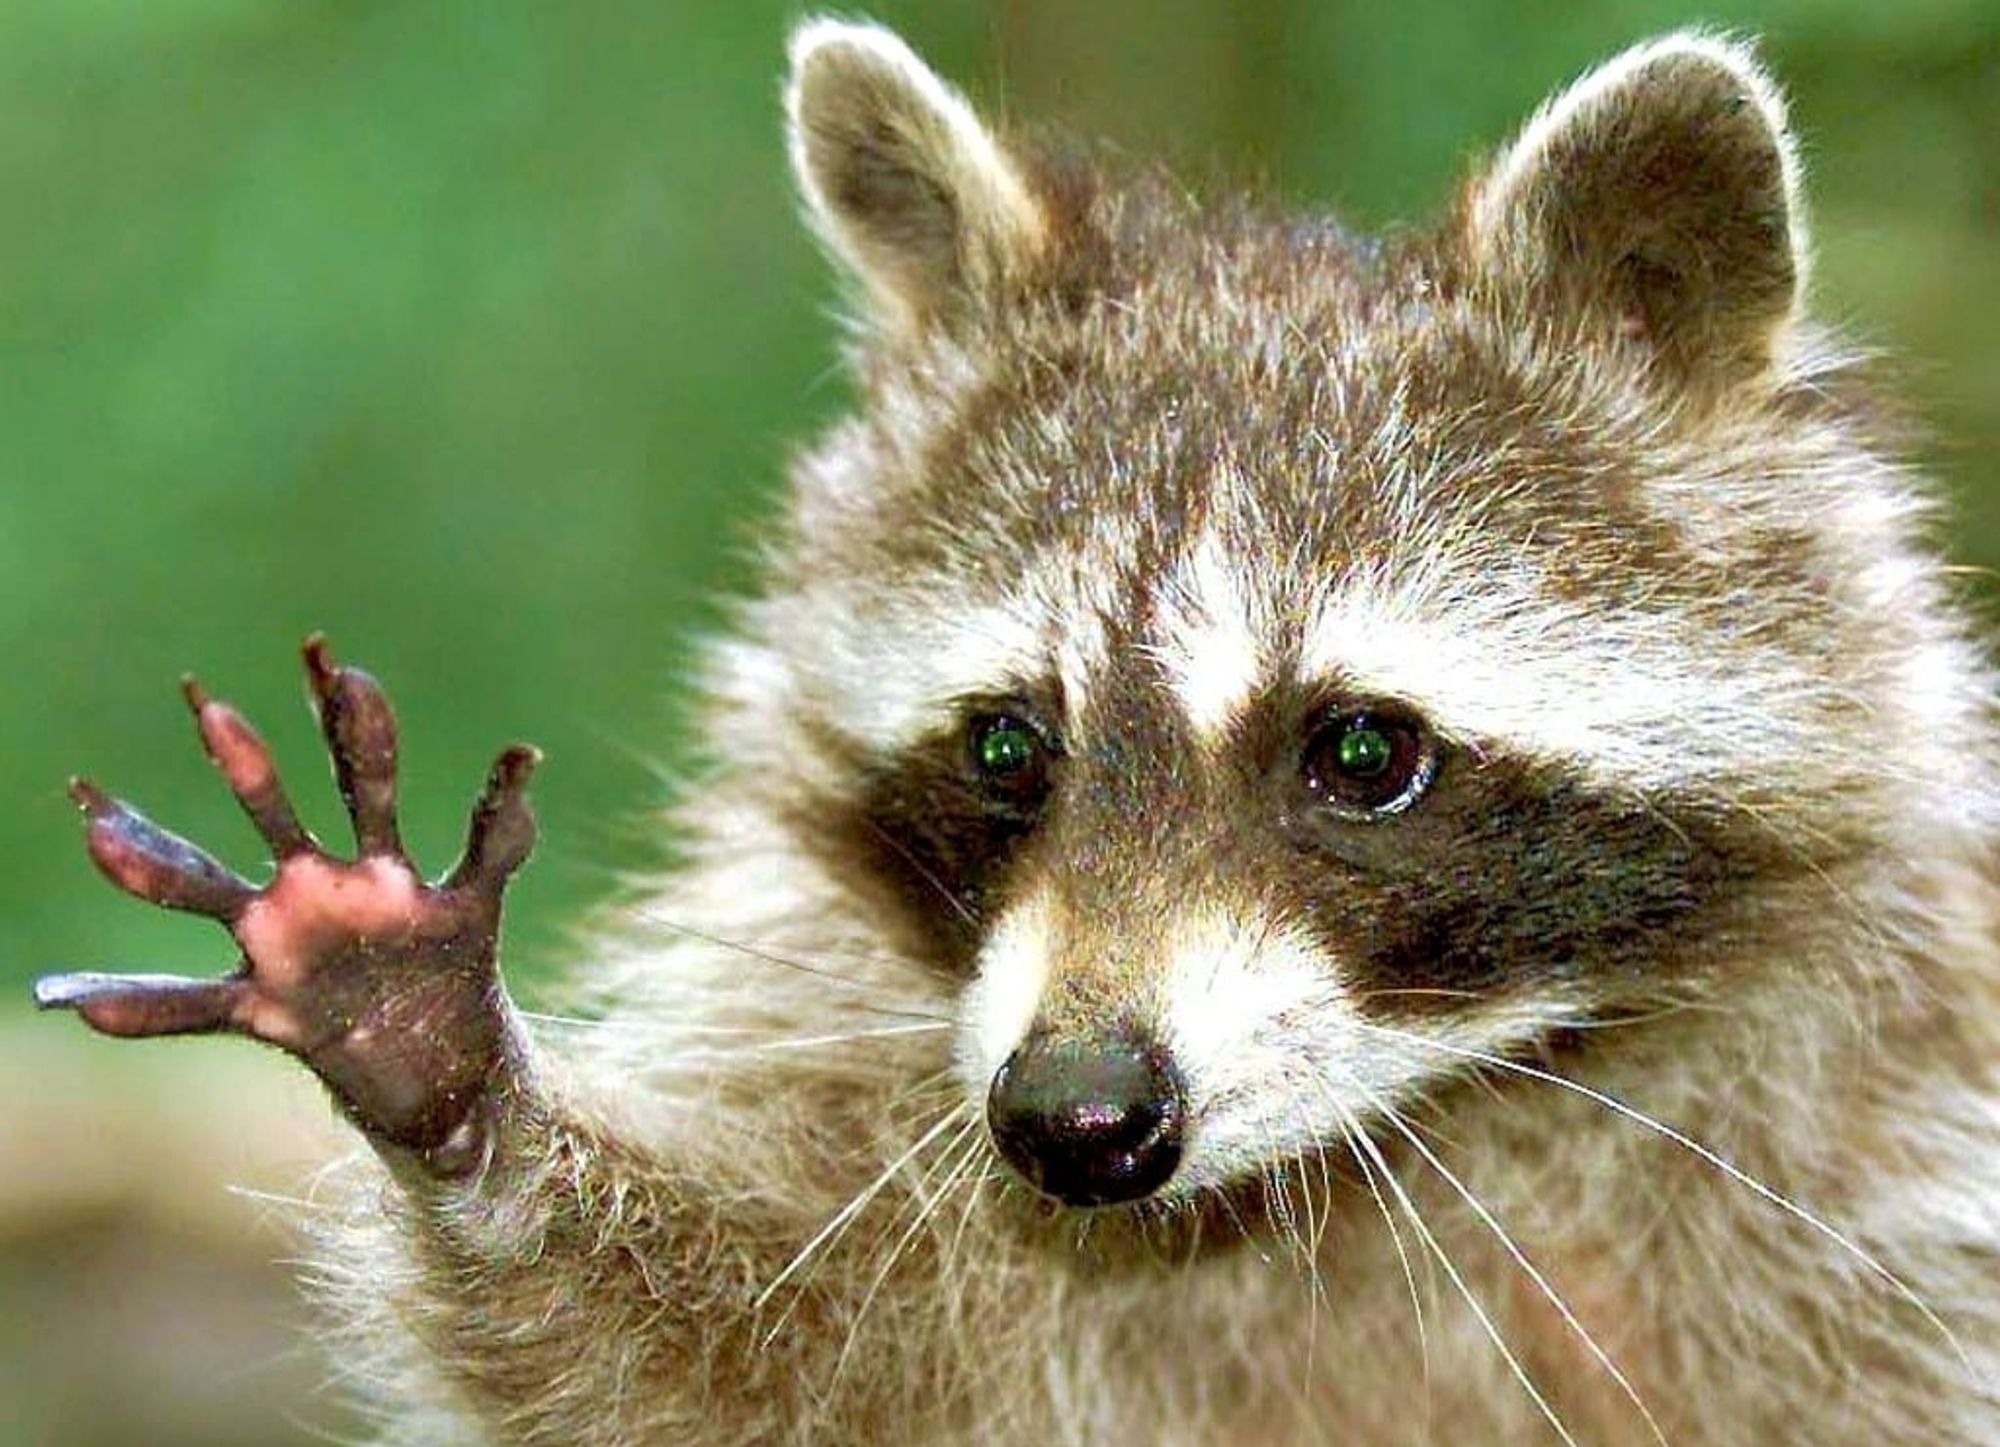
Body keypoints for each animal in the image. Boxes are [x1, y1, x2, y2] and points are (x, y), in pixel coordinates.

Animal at [35, 14, 2000, 1447]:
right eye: (1005, 748)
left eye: (1361, 753)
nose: (1074, 1117)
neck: (1390, 1136)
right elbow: (730, 1364)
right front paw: (448, 1068)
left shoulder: (1892, 1186)